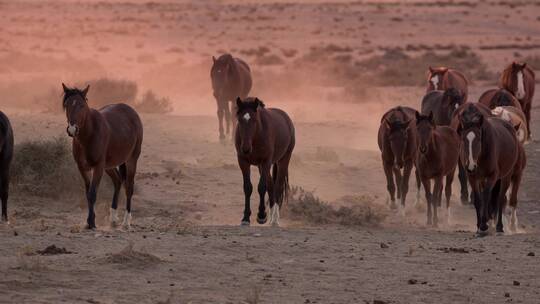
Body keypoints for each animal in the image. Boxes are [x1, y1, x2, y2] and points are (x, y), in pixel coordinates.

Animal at [61, 84, 143, 229]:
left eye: (82, 105)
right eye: (66, 105)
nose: (72, 129)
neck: (89, 134)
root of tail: (132, 112)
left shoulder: (98, 166)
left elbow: (93, 194)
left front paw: (92, 222)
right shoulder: (82, 168)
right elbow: (88, 193)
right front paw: (89, 221)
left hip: (131, 160)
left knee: (129, 187)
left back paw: (126, 221)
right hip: (109, 166)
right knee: (117, 181)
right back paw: (113, 218)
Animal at [235, 97, 296, 226]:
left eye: (254, 120)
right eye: (239, 119)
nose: (245, 148)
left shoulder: (266, 161)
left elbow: (261, 187)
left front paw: (262, 215)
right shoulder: (243, 162)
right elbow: (248, 187)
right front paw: (245, 218)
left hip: (283, 160)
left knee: (278, 186)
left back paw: (275, 220)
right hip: (261, 166)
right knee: (271, 186)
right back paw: (272, 216)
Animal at [456, 103, 520, 236]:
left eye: (479, 139)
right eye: (464, 139)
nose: (471, 166)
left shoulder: (492, 176)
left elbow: (486, 196)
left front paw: (484, 225)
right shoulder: (473, 177)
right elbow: (478, 199)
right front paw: (479, 225)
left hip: (505, 177)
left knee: (500, 199)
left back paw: (499, 227)